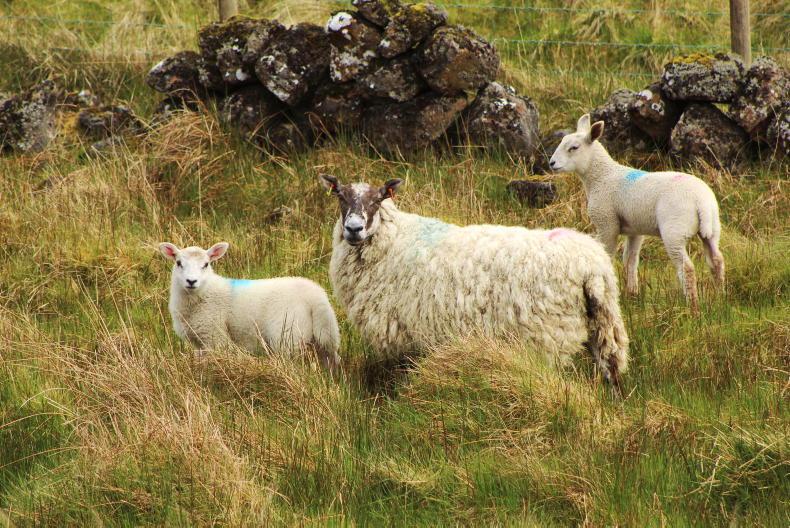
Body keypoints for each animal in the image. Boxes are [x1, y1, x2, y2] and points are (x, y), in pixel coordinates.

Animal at [158, 241, 341, 372]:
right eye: (179, 263)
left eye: (206, 264)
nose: (191, 281)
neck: (205, 292)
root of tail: (315, 295)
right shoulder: (201, 343)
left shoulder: (215, 337)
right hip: (323, 337)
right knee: (331, 359)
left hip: (288, 336)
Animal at [319, 174, 630, 389]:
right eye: (340, 197)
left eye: (378, 199)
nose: (354, 229)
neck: (393, 240)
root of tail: (592, 265)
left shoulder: (402, 333)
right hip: (604, 323)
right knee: (611, 369)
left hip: (549, 335)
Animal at [549, 114, 725, 314]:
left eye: (574, 148)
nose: (551, 163)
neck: (601, 177)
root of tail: (701, 201)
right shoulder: (635, 229)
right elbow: (630, 260)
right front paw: (632, 294)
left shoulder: (607, 222)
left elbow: (608, 256)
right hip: (712, 229)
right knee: (716, 260)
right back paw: (720, 297)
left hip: (675, 230)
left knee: (686, 268)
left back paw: (693, 308)